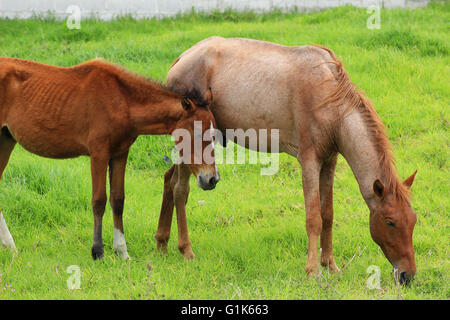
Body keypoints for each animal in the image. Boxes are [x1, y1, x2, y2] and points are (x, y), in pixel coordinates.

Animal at [0, 57, 218, 260]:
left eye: (215, 135)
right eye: (198, 133)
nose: (211, 179)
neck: (122, 100)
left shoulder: (120, 154)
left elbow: (118, 199)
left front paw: (122, 251)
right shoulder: (99, 154)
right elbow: (99, 200)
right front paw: (98, 251)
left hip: (6, 140)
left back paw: (10, 246)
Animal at [155, 37, 418, 284]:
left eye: (413, 220)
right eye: (390, 222)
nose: (408, 275)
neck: (330, 99)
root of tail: (180, 59)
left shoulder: (329, 161)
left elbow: (328, 214)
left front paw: (330, 265)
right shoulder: (310, 162)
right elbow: (313, 218)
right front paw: (313, 271)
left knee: (169, 181)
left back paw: (161, 244)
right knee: (180, 190)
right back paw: (186, 250)